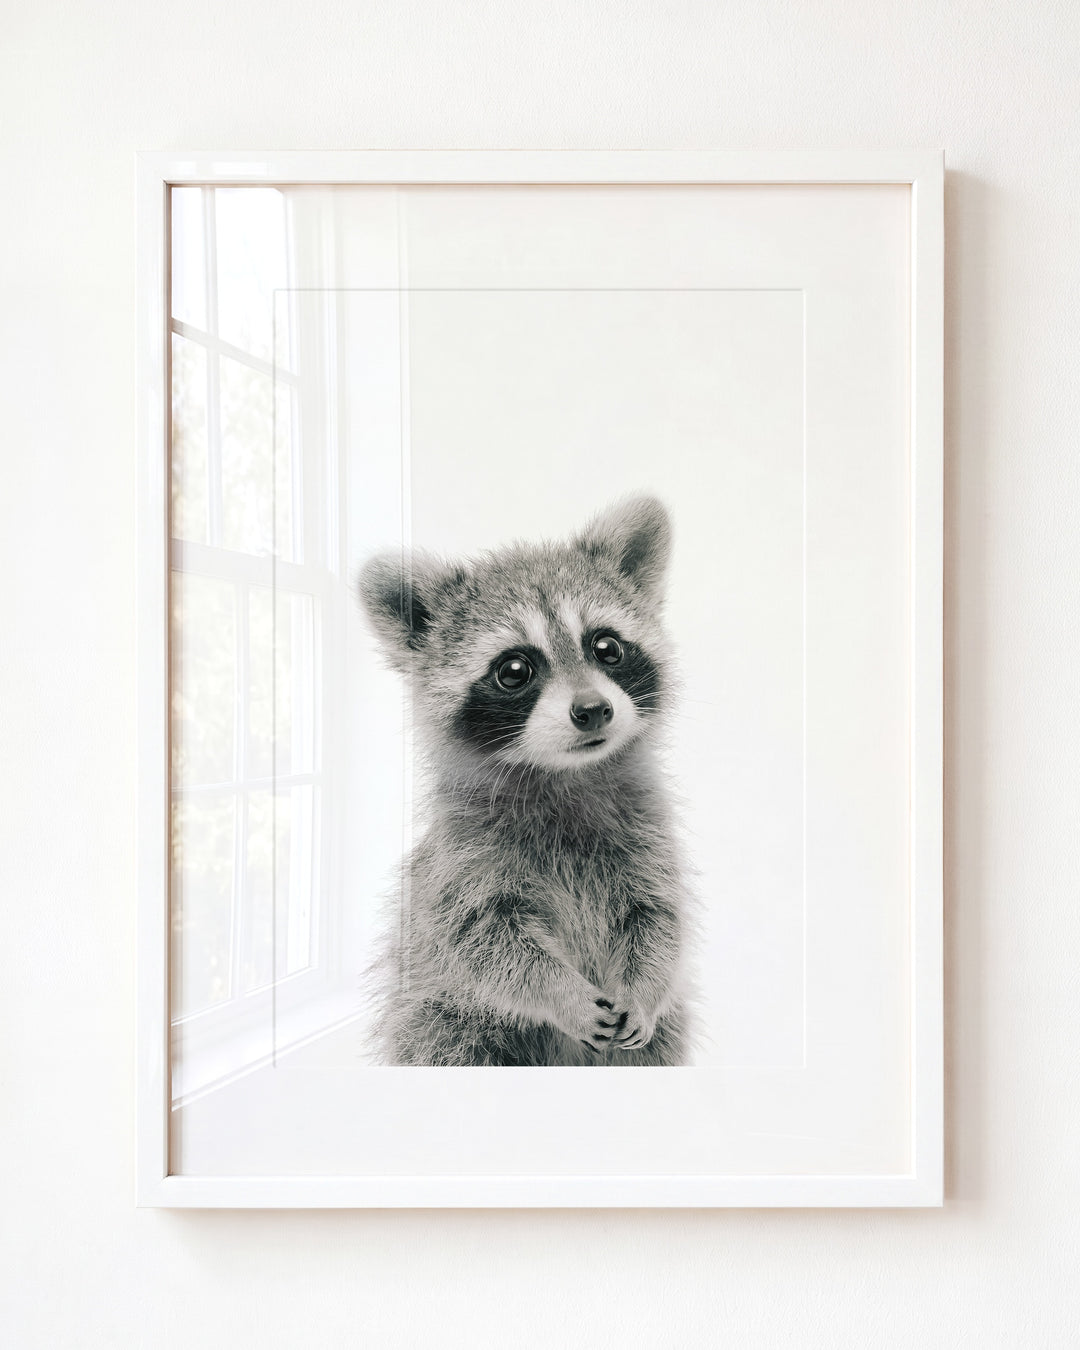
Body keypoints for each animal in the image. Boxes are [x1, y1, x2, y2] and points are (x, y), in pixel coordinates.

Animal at [357, 495, 693, 1066]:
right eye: (514, 670)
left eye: (606, 647)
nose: (593, 710)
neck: (564, 774)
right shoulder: (462, 863)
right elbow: (485, 944)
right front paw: (563, 995)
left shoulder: (649, 837)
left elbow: (659, 918)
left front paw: (644, 988)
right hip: (442, 1021)